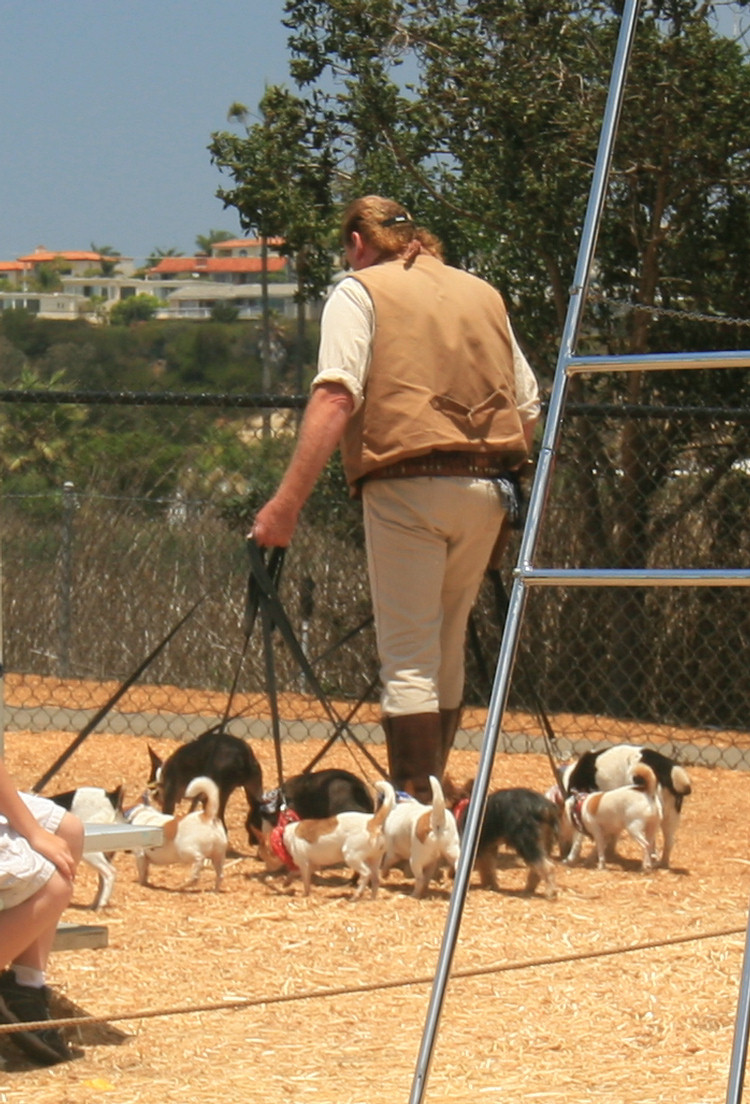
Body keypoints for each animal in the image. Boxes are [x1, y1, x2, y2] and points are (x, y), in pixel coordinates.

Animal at [52, 781, 124, 909]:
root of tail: (112, 797)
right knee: (103, 877)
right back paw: (94, 905)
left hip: (90, 850)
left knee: (110, 871)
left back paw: (101, 904)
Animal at [255, 777, 395, 896]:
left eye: (264, 855)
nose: (266, 868)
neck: (282, 837)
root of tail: (372, 821)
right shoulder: (312, 866)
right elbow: (294, 872)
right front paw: (287, 882)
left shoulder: (305, 864)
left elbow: (305, 881)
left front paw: (305, 894)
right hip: (374, 858)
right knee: (375, 878)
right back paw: (371, 896)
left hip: (351, 855)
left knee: (366, 873)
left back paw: (356, 894)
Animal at [563, 746, 693, 865]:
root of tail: (666, 768)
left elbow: (580, 838)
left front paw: (572, 858)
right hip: (669, 817)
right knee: (667, 842)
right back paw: (661, 864)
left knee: (649, 843)